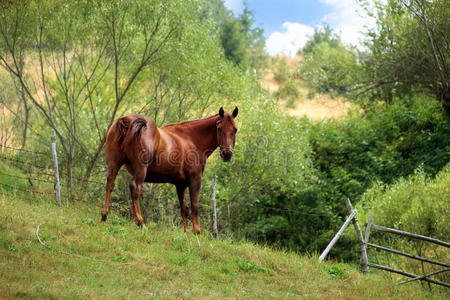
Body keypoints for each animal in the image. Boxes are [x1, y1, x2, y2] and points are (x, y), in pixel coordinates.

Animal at [100, 106, 237, 233]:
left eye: (235, 129)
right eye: (219, 128)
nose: (227, 154)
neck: (191, 139)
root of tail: (126, 121)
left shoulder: (180, 184)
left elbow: (184, 208)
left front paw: (186, 232)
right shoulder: (195, 179)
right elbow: (194, 205)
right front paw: (196, 231)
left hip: (114, 164)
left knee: (110, 183)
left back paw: (104, 215)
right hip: (140, 170)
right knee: (135, 188)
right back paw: (140, 222)